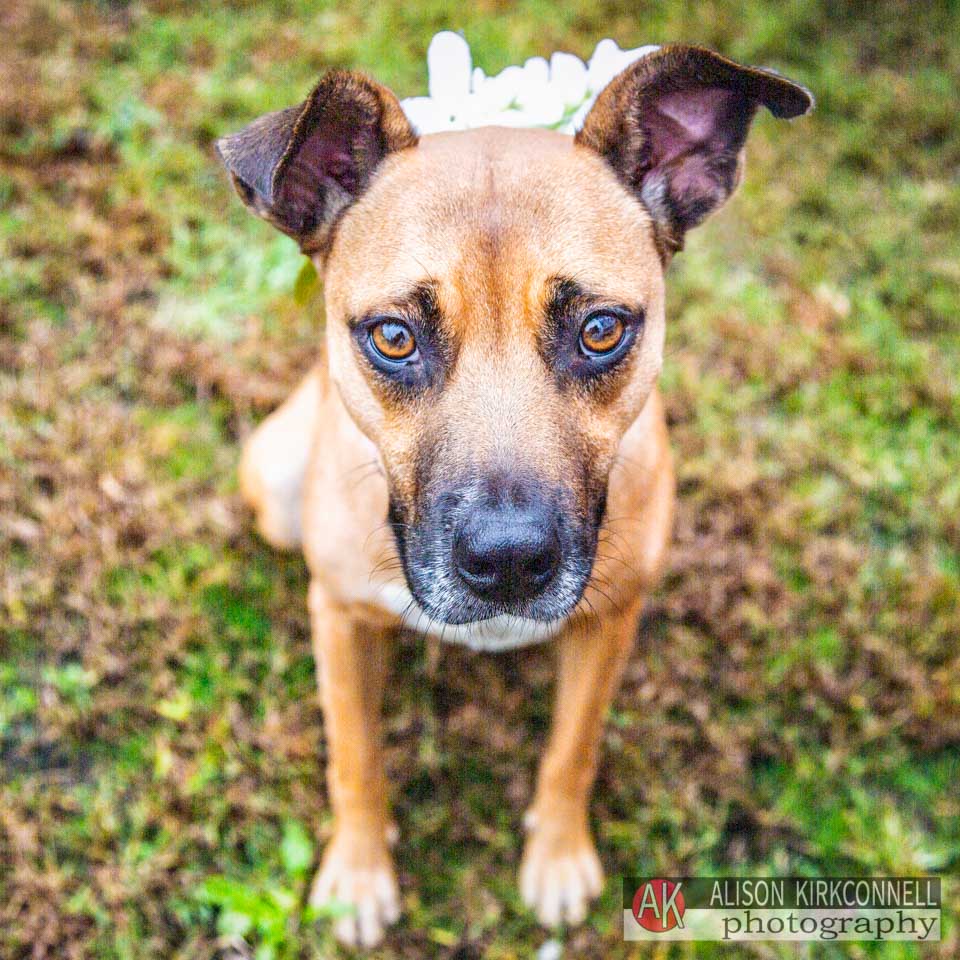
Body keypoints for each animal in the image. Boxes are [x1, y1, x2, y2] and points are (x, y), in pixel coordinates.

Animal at [218, 43, 808, 944]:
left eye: (601, 329)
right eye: (394, 338)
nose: (506, 564)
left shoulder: (611, 619)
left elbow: (574, 747)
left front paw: (557, 855)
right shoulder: (342, 619)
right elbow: (355, 755)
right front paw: (359, 873)